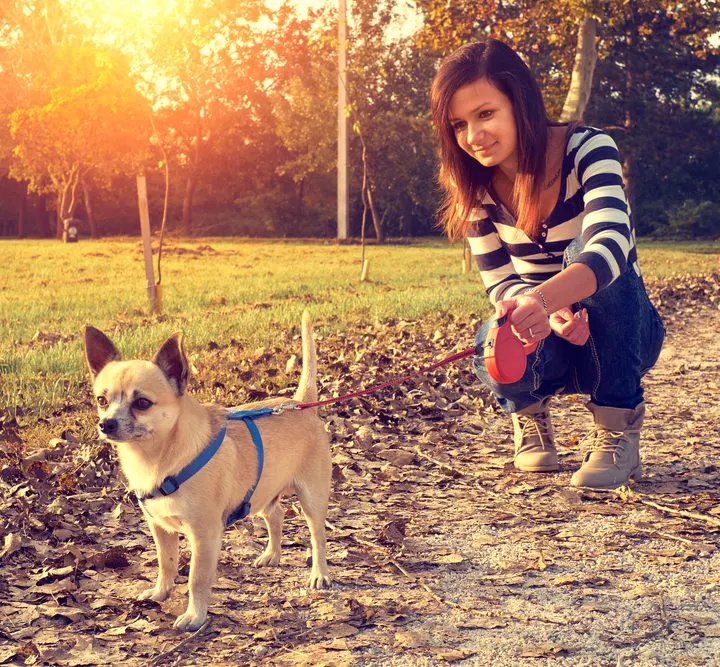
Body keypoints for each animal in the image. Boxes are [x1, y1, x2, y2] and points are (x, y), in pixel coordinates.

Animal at [84, 314, 332, 632]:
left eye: (142, 403)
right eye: (101, 400)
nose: (106, 424)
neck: (157, 458)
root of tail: (301, 404)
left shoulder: (204, 536)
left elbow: (196, 579)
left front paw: (195, 616)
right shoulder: (160, 528)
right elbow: (166, 563)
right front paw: (161, 592)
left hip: (312, 499)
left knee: (318, 536)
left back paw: (319, 574)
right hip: (263, 492)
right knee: (276, 516)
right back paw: (272, 555)